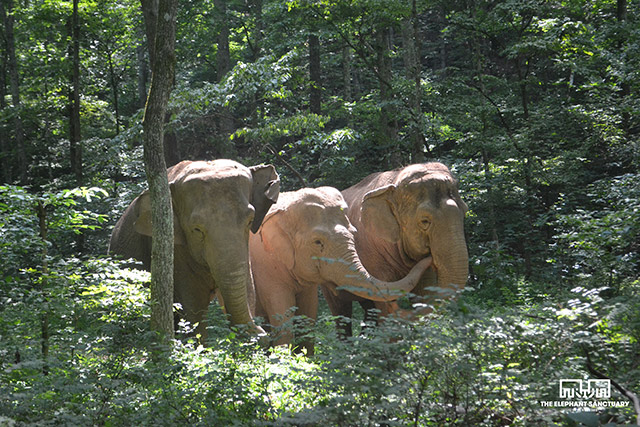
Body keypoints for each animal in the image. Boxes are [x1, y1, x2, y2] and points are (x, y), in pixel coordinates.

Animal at [108, 159, 280, 340]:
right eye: (196, 229)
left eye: (250, 220)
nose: (262, 333)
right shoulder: (176, 248)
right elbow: (194, 307)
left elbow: (248, 287)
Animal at [248, 187, 432, 354]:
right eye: (317, 242)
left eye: (354, 233)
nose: (429, 255)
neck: (286, 207)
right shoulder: (265, 266)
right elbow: (283, 318)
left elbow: (308, 317)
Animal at [322, 162, 468, 332]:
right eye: (425, 221)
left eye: (465, 212)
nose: (430, 258)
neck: (395, 181)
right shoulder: (371, 252)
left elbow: (424, 292)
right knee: (340, 309)